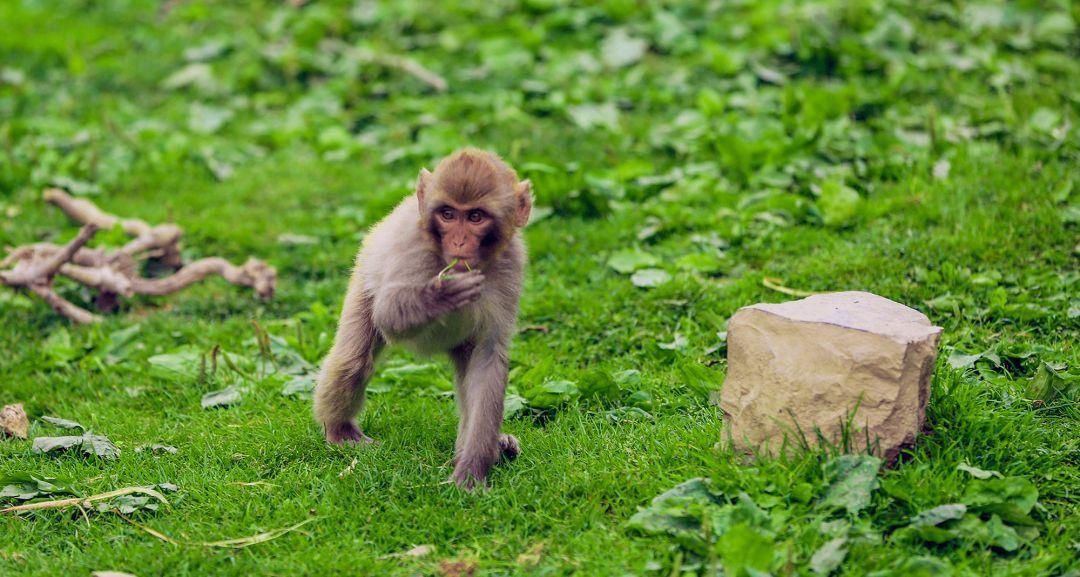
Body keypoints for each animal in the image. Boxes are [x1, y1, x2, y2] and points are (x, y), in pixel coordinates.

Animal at [313, 146, 531, 490]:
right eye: (447, 214)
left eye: (475, 217)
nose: (458, 242)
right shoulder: (413, 247)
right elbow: (389, 315)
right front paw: (442, 295)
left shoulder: (512, 264)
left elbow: (488, 357)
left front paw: (472, 469)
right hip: (364, 275)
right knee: (352, 361)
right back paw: (340, 431)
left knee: (467, 371)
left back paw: (491, 447)